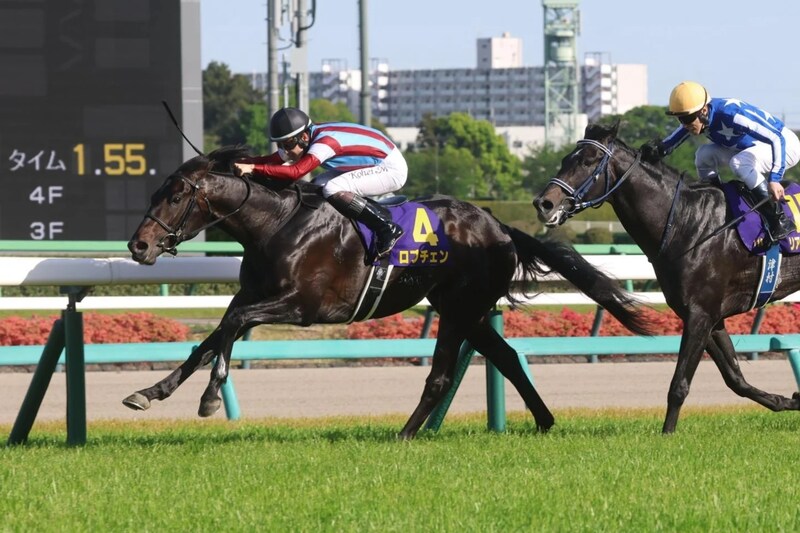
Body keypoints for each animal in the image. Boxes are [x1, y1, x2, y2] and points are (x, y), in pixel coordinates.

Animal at [123, 145, 651, 439]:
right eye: (153, 194)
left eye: (176, 196)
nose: (138, 245)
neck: (276, 225)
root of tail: (499, 225)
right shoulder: (249, 296)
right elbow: (209, 339)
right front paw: (149, 392)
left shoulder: (302, 306)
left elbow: (231, 327)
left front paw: (211, 397)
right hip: (465, 309)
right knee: (506, 357)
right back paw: (543, 422)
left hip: (459, 310)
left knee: (441, 376)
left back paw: (406, 434)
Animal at [533, 121, 800, 434]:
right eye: (565, 159)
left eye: (588, 161)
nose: (544, 203)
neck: (688, 222)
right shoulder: (707, 316)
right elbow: (735, 378)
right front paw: (788, 400)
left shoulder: (700, 314)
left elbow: (679, 384)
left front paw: (667, 434)